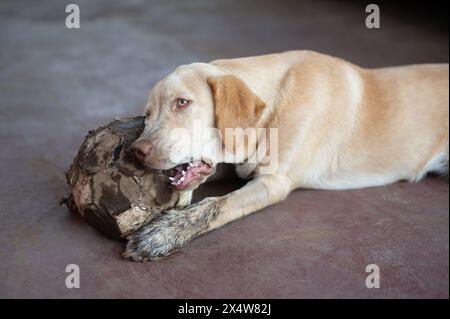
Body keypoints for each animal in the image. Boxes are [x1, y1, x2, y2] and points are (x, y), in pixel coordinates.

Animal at [124, 49, 450, 260]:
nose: (136, 151)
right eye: (147, 115)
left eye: (182, 102)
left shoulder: (273, 182)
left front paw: (165, 233)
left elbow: (217, 204)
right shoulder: (238, 162)